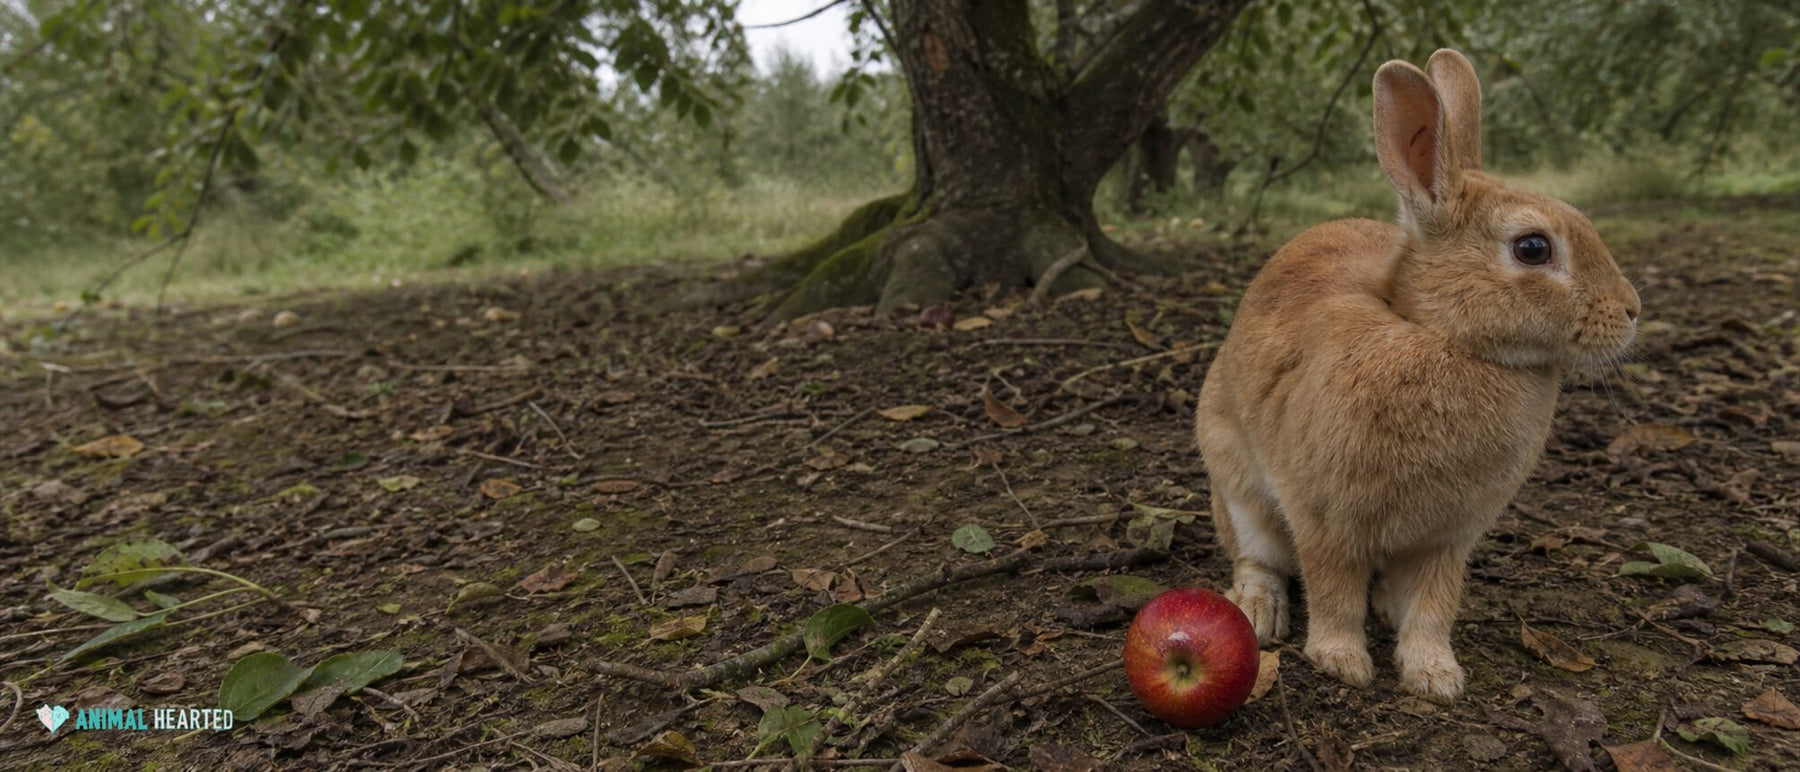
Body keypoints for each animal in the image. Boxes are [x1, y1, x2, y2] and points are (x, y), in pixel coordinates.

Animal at [1194, 49, 1640, 701]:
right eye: (1533, 248)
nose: (1632, 311)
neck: (1441, 336)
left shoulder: (1447, 540)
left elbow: (1434, 606)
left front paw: (1435, 675)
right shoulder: (1325, 517)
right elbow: (1333, 593)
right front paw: (1343, 662)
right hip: (1237, 486)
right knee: (1257, 557)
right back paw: (1260, 612)